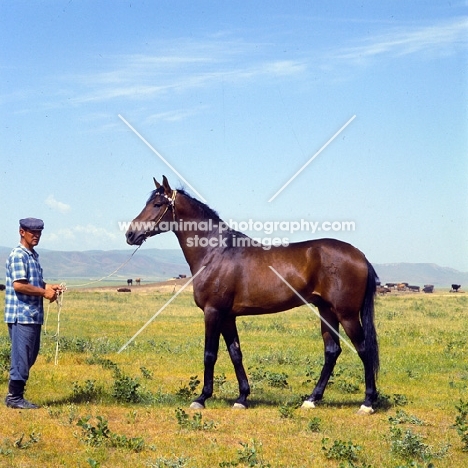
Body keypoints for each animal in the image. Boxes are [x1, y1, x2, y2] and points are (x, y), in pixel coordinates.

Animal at [125, 176, 380, 414]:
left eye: (158, 204)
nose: (130, 234)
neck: (215, 252)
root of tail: (360, 256)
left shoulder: (213, 312)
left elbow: (210, 354)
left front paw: (201, 398)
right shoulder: (228, 317)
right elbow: (235, 353)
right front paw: (242, 398)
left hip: (347, 315)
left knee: (363, 350)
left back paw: (367, 403)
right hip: (326, 311)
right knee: (332, 351)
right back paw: (311, 399)